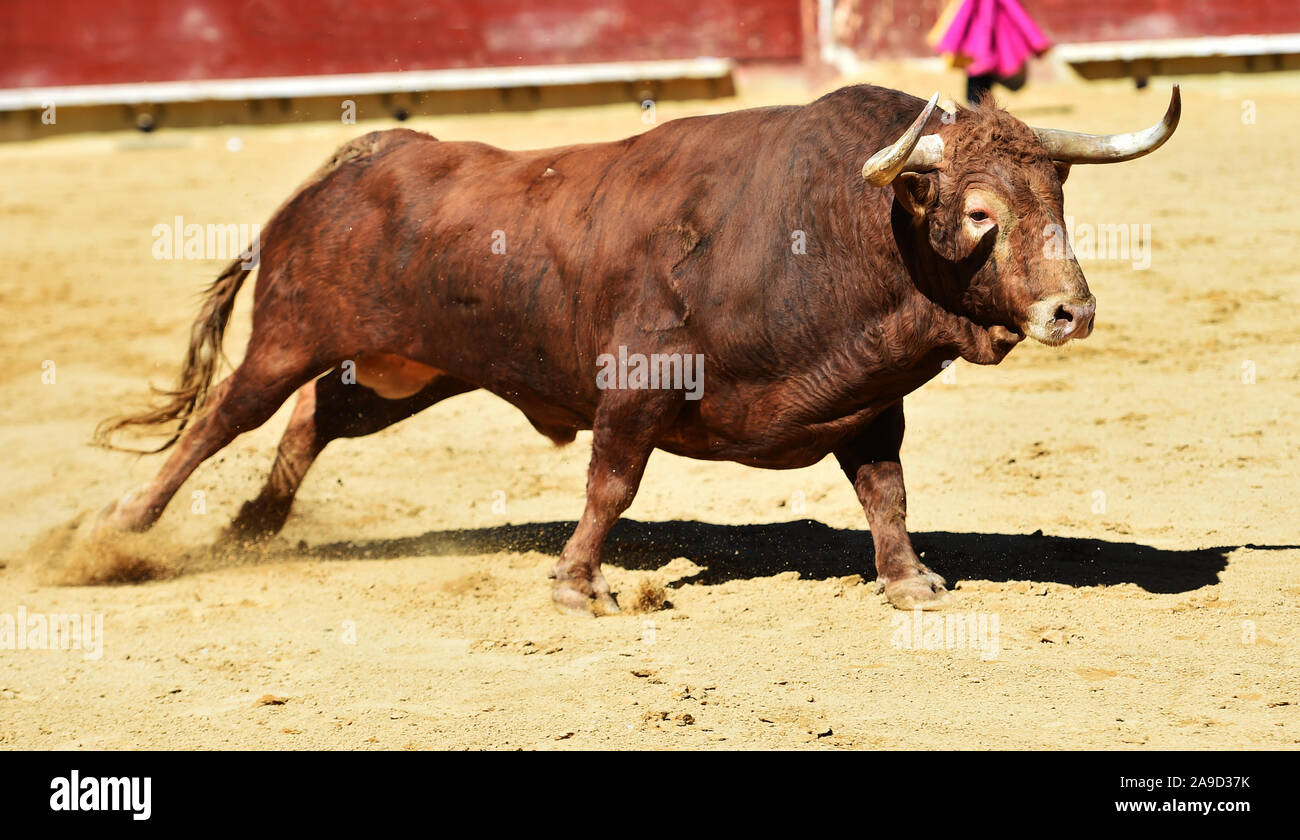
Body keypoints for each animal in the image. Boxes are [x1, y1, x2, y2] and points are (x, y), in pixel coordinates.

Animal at [95, 83, 1181, 615]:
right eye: (981, 210)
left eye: (1059, 196)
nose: (1070, 313)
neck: (833, 228)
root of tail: (369, 154)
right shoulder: (637, 386)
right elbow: (611, 485)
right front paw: (578, 588)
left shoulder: (871, 405)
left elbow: (887, 492)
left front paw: (909, 584)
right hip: (288, 333)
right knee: (224, 417)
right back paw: (115, 536)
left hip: (411, 370)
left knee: (319, 416)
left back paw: (255, 526)